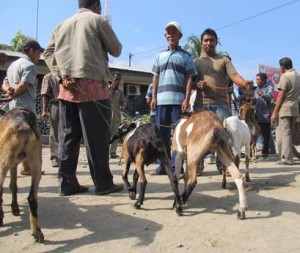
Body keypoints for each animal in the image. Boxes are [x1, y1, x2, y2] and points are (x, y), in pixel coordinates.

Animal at [0, 107, 43, 242]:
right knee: (32, 197)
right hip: (36, 160)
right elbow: (13, 186)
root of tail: (24, 123)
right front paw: (15, 208)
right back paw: (36, 231)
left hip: (3, 161)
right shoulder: (13, 164)